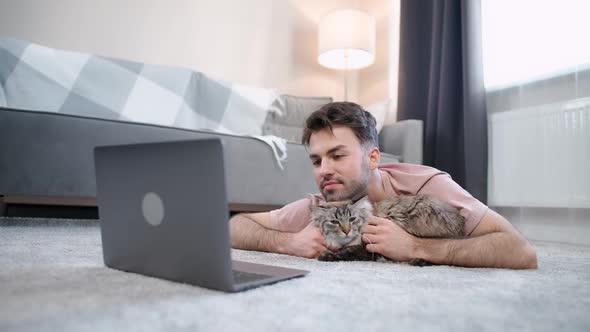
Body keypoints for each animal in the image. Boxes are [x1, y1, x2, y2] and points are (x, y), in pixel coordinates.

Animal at [312, 196, 470, 266]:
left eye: (352, 219)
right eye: (335, 222)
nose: (346, 231)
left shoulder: (365, 249)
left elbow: (344, 253)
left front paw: (326, 255)